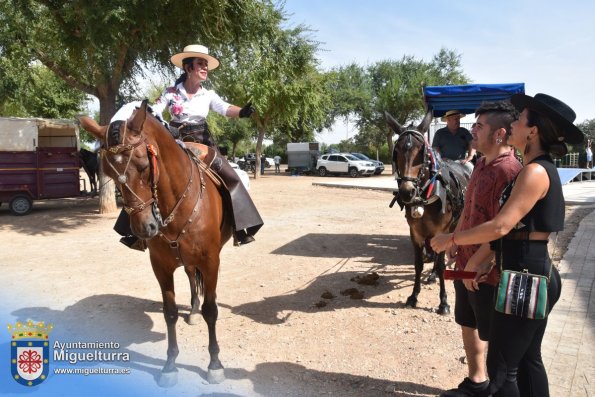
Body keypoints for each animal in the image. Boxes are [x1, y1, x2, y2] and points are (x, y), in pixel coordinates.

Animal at [78, 100, 235, 386]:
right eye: (109, 171)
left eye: (143, 165)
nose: (144, 228)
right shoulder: (161, 266)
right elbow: (169, 312)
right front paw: (170, 365)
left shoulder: (211, 261)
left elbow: (212, 310)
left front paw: (215, 364)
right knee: (191, 277)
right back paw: (192, 310)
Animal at [386, 110, 470, 314]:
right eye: (396, 151)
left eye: (422, 152)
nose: (407, 191)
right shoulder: (416, 233)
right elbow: (418, 264)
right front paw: (413, 296)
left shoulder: (441, 232)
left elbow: (440, 265)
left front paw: (444, 302)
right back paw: (431, 275)